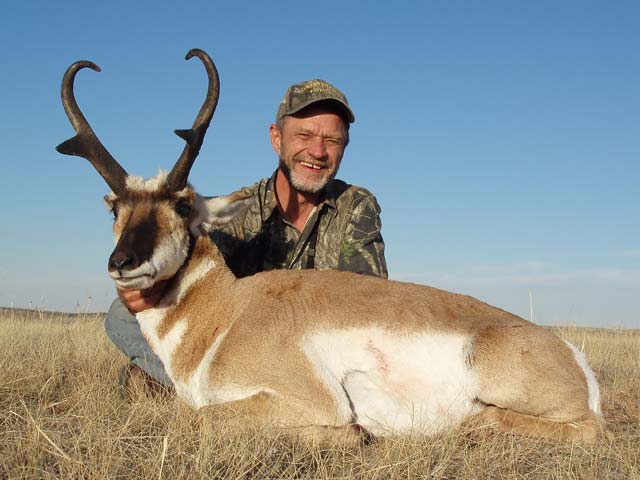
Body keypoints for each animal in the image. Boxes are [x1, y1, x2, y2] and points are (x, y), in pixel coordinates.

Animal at [55, 48, 604, 442]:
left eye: (184, 205)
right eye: (114, 209)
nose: (122, 262)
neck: (227, 312)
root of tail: (570, 354)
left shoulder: (310, 400)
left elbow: (201, 418)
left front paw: (358, 434)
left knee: (578, 429)